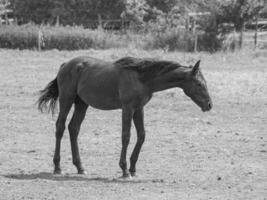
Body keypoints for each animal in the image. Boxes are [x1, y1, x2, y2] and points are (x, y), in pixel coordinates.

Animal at [37, 55, 214, 177]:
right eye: (199, 84)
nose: (209, 105)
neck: (142, 78)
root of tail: (66, 64)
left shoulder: (139, 109)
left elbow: (141, 135)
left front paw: (133, 168)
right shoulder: (127, 108)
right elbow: (126, 136)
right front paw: (124, 170)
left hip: (82, 103)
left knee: (73, 128)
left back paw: (80, 167)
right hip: (66, 99)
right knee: (60, 127)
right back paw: (57, 167)